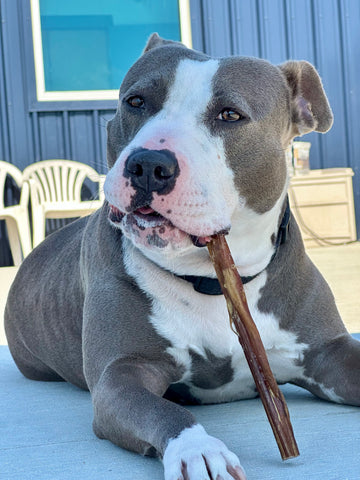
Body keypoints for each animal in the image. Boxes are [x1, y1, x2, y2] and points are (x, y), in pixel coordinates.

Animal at [5, 34, 360, 480]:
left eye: (230, 115)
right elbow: (165, 411)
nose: (148, 164)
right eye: (136, 101)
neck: (212, 279)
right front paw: (199, 450)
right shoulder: (121, 375)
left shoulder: (330, 354)